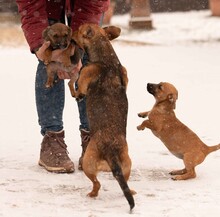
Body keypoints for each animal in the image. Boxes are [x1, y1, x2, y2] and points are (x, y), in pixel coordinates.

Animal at [71, 24, 135, 212]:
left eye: (78, 30)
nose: (70, 30)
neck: (107, 59)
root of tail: (111, 152)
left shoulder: (83, 83)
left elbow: (75, 88)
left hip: (88, 164)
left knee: (97, 184)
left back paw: (92, 193)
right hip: (127, 164)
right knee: (125, 183)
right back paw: (131, 191)